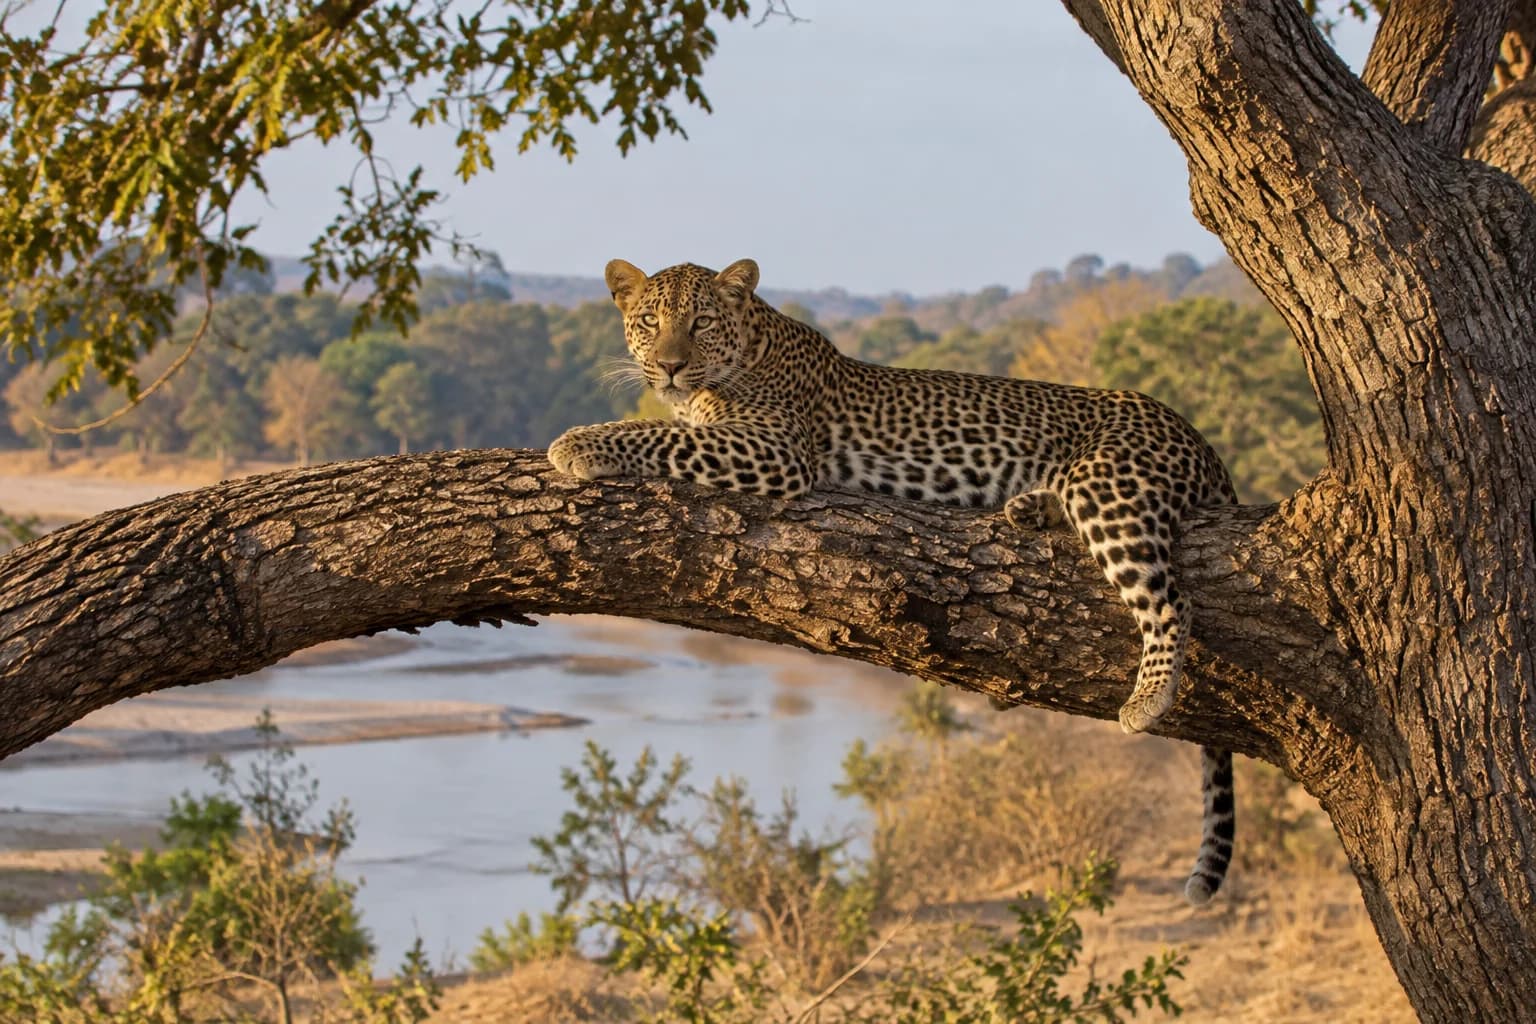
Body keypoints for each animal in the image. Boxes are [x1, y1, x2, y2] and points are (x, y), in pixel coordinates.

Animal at [549, 258, 1237, 904]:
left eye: (700, 324)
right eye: (649, 321)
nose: (668, 367)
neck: (749, 346)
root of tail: (1199, 439)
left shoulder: (771, 446)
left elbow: (658, 433)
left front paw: (577, 443)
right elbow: (668, 428)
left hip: (1109, 486)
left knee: (1171, 602)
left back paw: (1147, 698)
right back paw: (1030, 507)